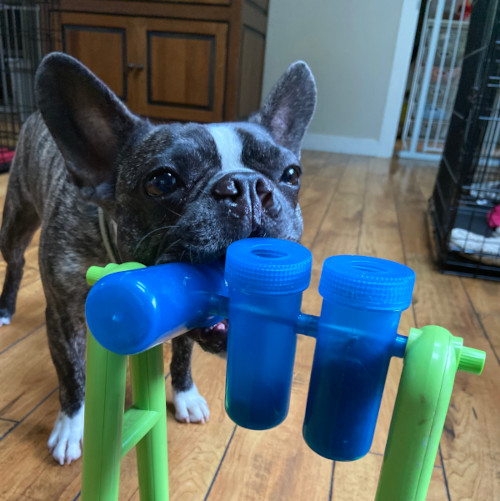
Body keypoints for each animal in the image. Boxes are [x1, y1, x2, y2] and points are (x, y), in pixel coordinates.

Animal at [0, 52, 316, 462]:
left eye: (291, 174)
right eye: (163, 181)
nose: (246, 185)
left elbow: (182, 353)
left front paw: (185, 395)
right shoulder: (63, 316)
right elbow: (71, 373)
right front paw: (71, 426)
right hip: (16, 221)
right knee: (15, 262)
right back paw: (5, 308)